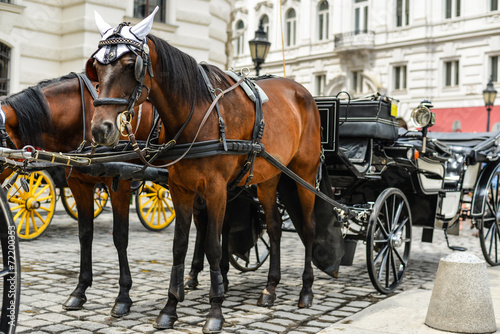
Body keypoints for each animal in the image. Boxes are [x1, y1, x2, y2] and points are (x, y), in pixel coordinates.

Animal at [88, 11, 322, 332]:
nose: (101, 129)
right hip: (269, 177)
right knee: (274, 226)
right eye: (97, 66)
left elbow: (213, 245)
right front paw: (170, 308)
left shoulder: (215, 189)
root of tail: (303, 92)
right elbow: (180, 245)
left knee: (308, 228)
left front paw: (215, 310)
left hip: (305, 175)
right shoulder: (181, 189)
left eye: (128, 65)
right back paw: (270, 288)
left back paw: (306, 290)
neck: (197, 114)